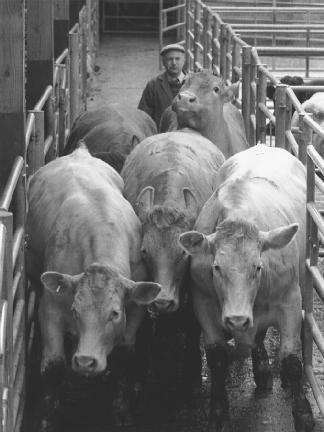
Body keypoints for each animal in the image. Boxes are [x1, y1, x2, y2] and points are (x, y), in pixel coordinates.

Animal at [26, 147, 161, 430]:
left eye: (115, 313)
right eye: (75, 311)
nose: (85, 361)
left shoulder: (135, 309)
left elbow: (124, 354)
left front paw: (121, 408)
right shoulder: (50, 308)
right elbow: (53, 366)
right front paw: (46, 418)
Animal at [178, 145, 316, 432]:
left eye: (258, 267)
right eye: (216, 267)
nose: (237, 319)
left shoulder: (290, 302)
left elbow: (292, 361)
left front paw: (303, 414)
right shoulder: (203, 304)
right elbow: (217, 359)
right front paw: (218, 412)